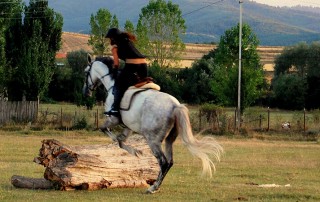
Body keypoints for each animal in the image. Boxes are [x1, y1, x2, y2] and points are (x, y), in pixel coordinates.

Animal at [82, 56, 222, 193]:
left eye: (85, 72)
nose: (85, 92)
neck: (112, 85)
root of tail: (175, 106)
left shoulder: (113, 120)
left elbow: (107, 132)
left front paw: (136, 151)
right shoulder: (128, 127)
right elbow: (120, 141)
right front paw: (135, 151)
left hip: (153, 140)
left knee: (163, 162)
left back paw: (153, 188)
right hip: (169, 139)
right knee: (170, 161)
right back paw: (156, 186)